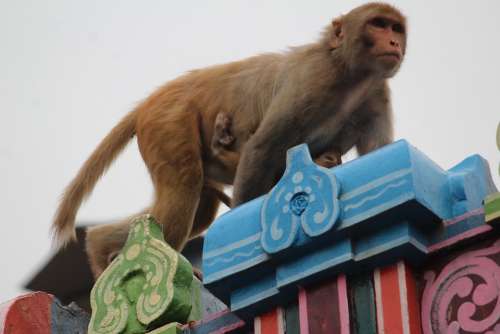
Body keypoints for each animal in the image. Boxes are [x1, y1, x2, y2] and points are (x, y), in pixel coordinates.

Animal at [53, 2, 406, 278]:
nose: (393, 41)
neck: (349, 74)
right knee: (184, 191)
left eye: (396, 28)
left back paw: (99, 245)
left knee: (198, 207)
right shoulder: (313, 79)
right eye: (377, 24)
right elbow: (262, 147)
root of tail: (151, 101)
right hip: (168, 124)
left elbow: (378, 154)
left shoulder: (377, 94)